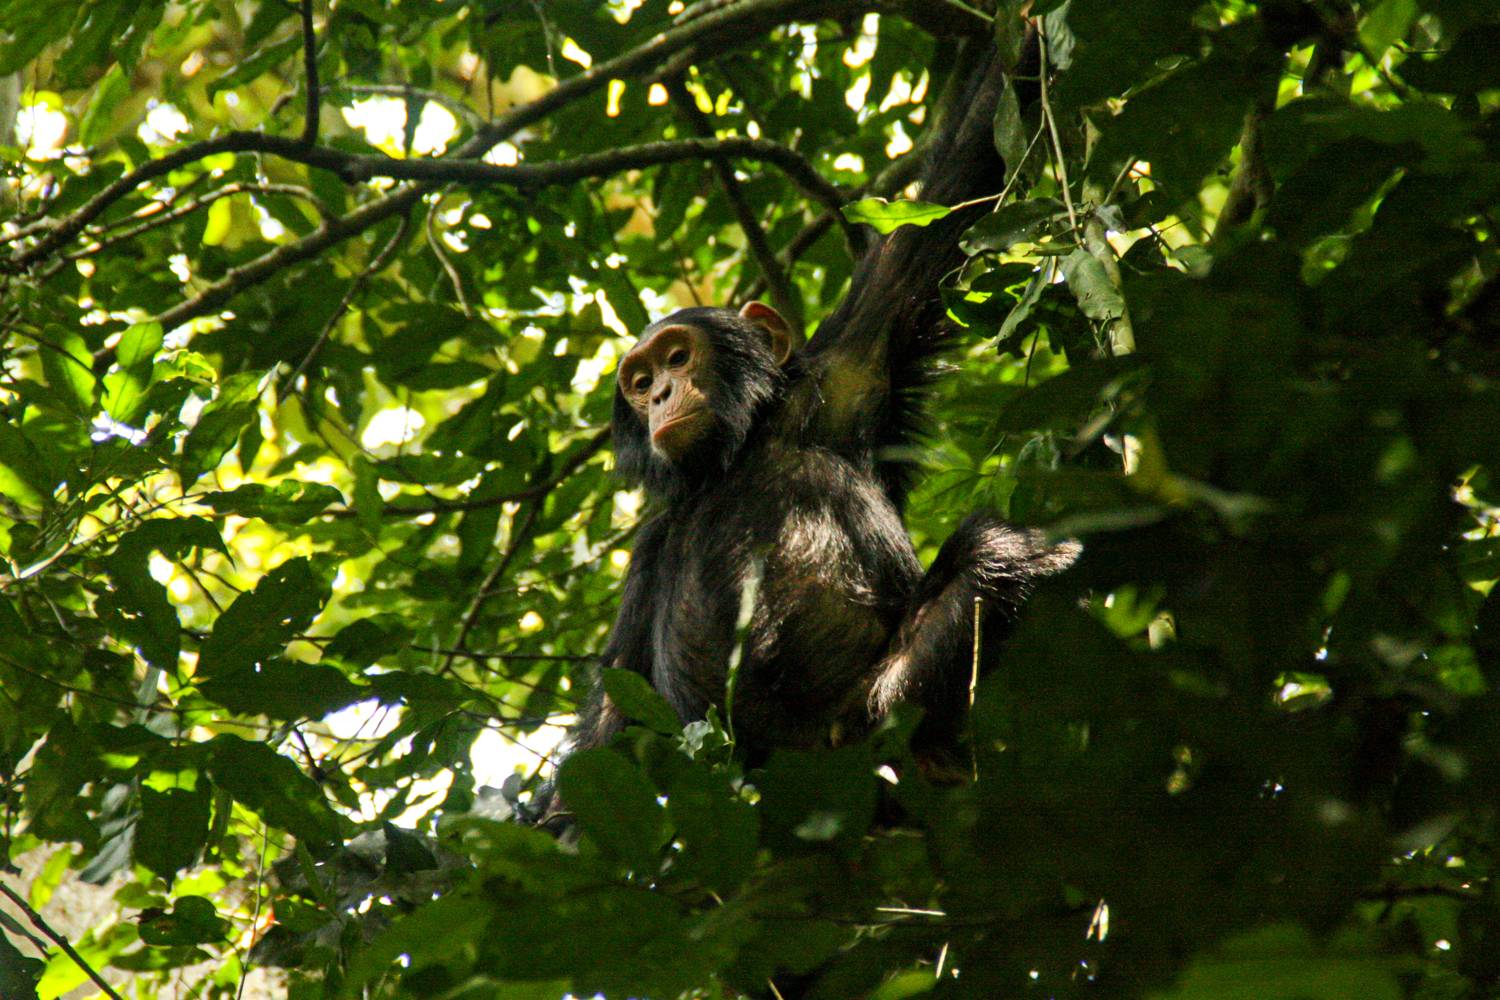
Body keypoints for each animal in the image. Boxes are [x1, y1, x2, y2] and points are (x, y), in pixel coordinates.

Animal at [567, 39, 1074, 773]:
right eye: (639, 381)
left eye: (677, 357)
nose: (658, 394)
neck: (743, 447)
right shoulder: (648, 552)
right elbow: (610, 720)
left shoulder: (854, 361)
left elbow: (954, 187)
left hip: (875, 712)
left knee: (993, 551)